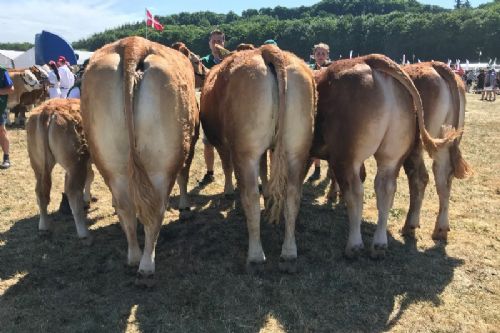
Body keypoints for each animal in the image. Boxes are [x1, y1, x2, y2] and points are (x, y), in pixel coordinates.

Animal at [26, 97, 94, 243]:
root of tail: (48, 110)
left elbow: (90, 176)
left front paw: (87, 198)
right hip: (75, 163)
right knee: (73, 192)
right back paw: (83, 232)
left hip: (37, 164)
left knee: (40, 192)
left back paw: (43, 226)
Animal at [82, 36, 199, 286]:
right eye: (196, 60)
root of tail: (133, 45)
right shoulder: (191, 144)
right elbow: (184, 176)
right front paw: (184, 206)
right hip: (162, 165)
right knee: (156, 210)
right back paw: (146, 263)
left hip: (111, 163)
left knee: (125, 207)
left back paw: (134, 256)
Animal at [200, 44, 314, 272]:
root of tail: (267, 50)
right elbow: (264, 169)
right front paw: (268, 193)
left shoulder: (224, 145)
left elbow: (227, 166)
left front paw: (228, 190)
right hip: (297, 149)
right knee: (293, 195)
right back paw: (289, 251)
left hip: (246, 152)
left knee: (251, 197)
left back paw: (255, 254)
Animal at [312, 53, 458, 256]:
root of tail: (369, 59)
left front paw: (333, 196)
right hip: (403, 151)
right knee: (419, 182)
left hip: (347, 155)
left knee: (357, 190)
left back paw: (355, 244)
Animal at [402, 61, 472, 239]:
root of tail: (435, 65)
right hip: (447, 139)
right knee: (444, 176)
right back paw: (441, 229)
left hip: (417, 143)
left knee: (419, 177)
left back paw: (410, 225)